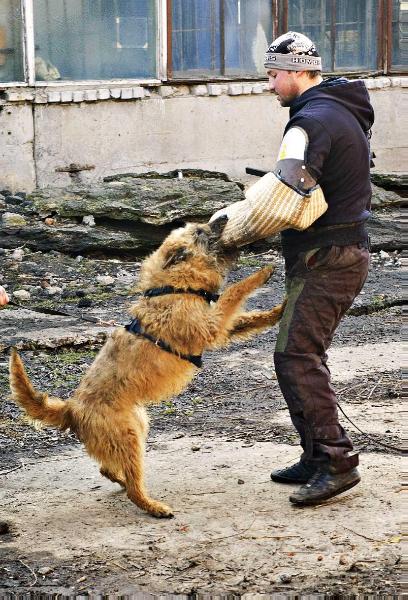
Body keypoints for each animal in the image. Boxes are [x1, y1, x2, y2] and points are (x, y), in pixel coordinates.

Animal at [8, 218, 284, 516]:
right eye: (199, 231)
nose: (222, 218)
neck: (174, 286)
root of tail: (71, 409)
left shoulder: (218, 327)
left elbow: (248, 318)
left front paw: (278, 311)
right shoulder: (210, 325)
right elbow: (235, 292)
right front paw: (262, 274)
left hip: (136, 427)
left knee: (109, 470)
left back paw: (122, 482)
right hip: (127, 437)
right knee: (132, 487)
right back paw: (152, 505)